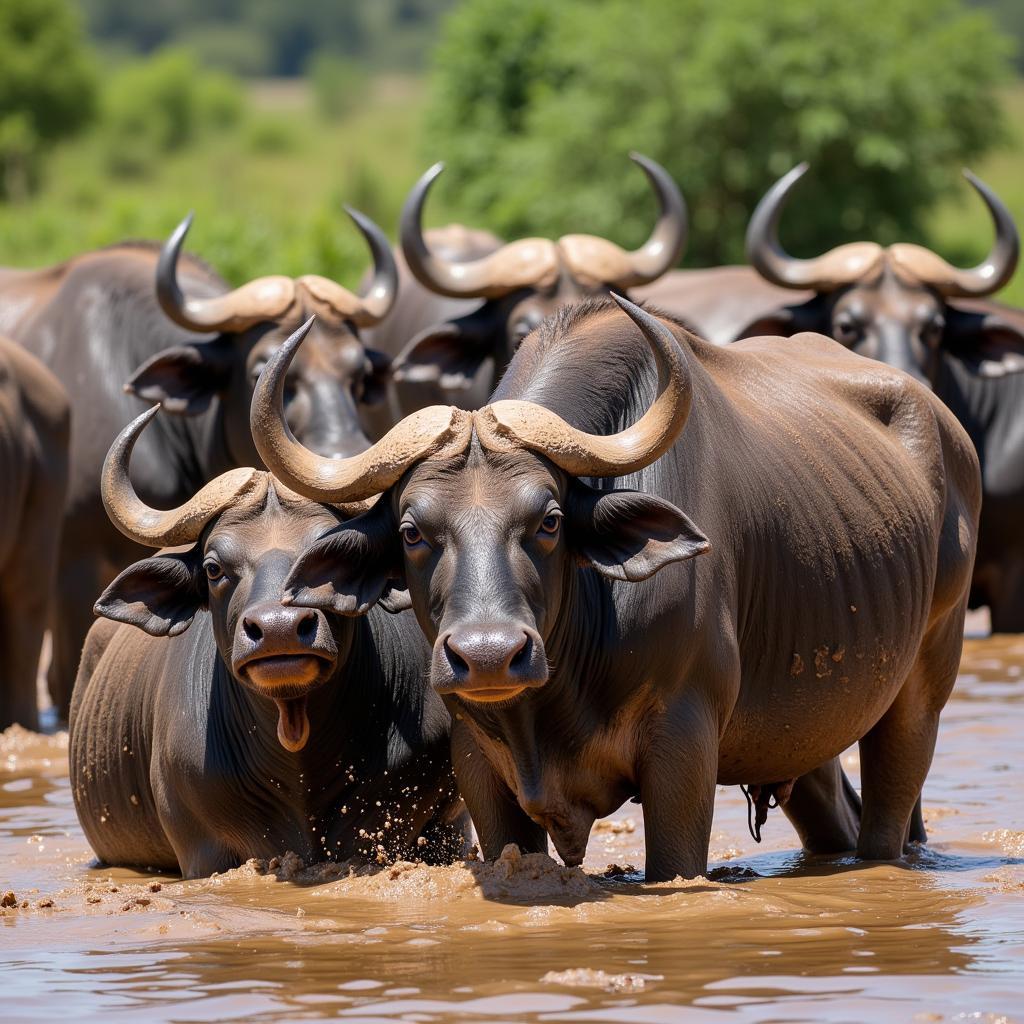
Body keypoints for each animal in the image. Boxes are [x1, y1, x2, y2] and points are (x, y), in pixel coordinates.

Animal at [251, 294, 978, 880]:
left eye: (548, 520)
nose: (488, 655)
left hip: (922, 686)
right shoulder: (480, 766)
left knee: (887, 815)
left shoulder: (684, 745)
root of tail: (947, 429)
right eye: (411, 531)